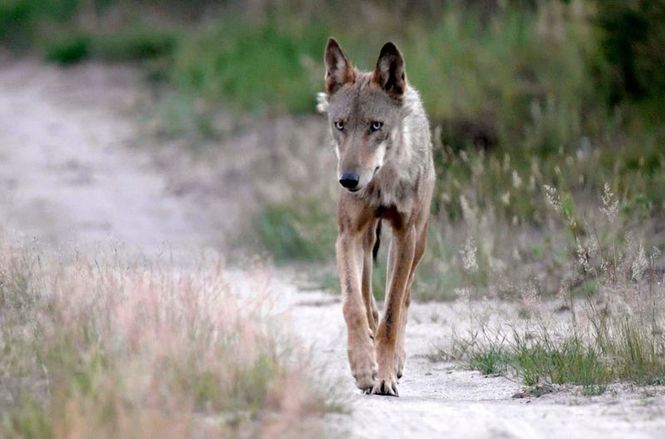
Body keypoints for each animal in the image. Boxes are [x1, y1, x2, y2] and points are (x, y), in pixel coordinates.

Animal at [318, 37, 436, 396]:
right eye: (340, 125)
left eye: (376, 126)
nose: (348, 180)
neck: (381, 182)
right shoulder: (347, 235)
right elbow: (352, 305)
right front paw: (363, 368)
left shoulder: (404, 235)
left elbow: (393, 313)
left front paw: (384, 375)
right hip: (368, 239)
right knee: (368, 296)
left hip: (417, 242)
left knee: (404, 299)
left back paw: (396, 361)